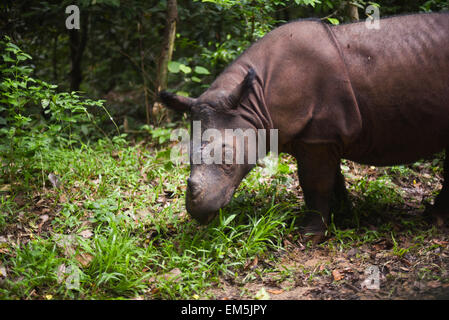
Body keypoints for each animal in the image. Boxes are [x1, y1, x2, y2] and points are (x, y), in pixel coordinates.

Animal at [160, 13, 448, 242]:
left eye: (228, 162)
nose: (198, 211)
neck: (252, 105)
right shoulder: (321, 136)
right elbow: (333, 179)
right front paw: (343, 215)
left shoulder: (318, 137)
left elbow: (314, 183)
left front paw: (309, 236)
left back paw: (435, 220)